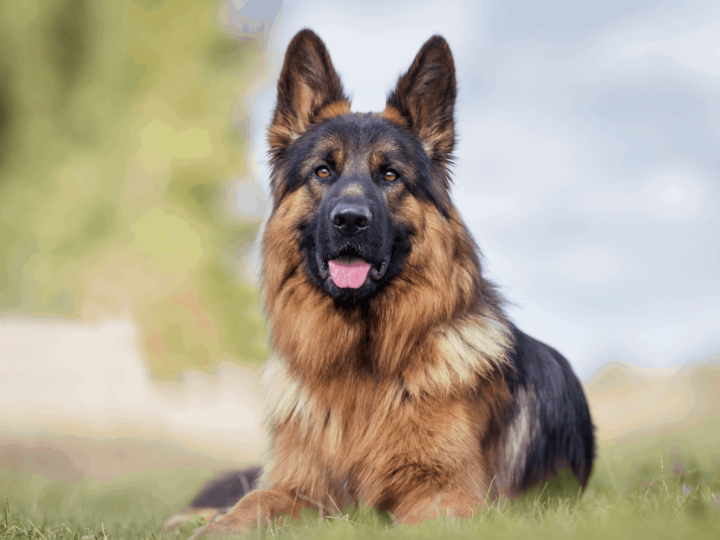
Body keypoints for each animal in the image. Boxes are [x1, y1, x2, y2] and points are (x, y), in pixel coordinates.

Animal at [190, 28, 592, 536]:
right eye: (323, 171)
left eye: (390, 175)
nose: (349, 220)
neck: (360, 370)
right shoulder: (297, 486)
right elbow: (248, 505)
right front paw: (213, 526)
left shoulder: (446, 495)